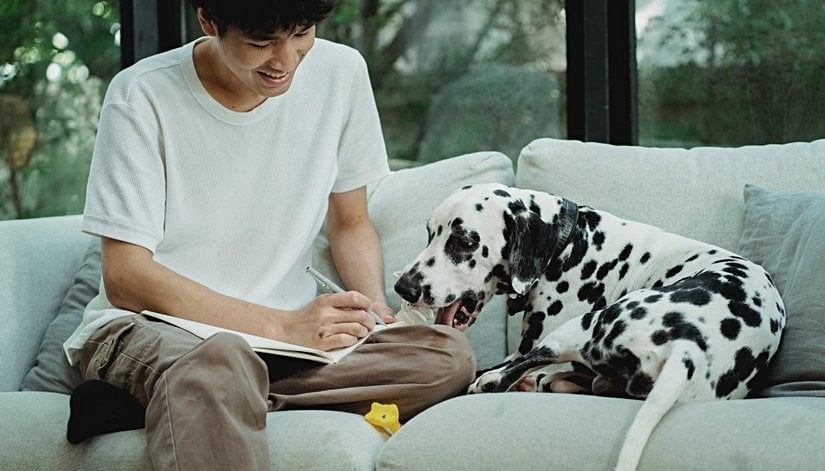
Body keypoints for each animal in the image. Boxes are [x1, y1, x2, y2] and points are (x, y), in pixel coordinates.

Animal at [394, 183, 785, 471]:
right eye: (429, 233)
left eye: (464, 241)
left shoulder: (528, 346)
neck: (569, 242)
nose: (403, 287)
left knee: (505, 377)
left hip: (576, 329)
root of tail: (689, 347)